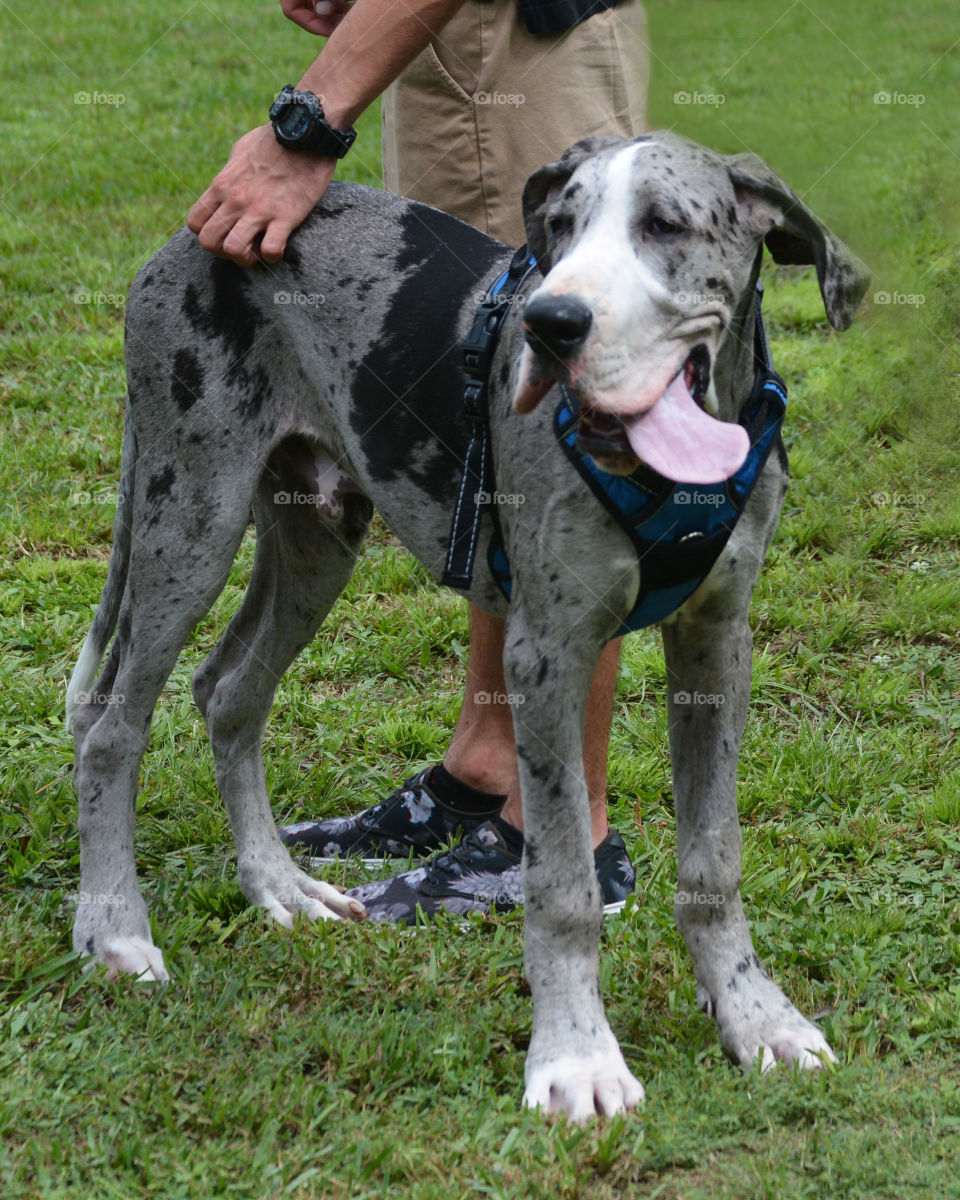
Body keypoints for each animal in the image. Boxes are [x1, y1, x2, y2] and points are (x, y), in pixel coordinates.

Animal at [63, 133, 864, 1123]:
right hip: (188, 519)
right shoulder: (547, 654)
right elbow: (560, 883)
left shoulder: (718, 639)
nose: (551, 324)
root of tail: (185, 234)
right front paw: (577, 1057)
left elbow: (714, 859)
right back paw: (115, 931)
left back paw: (278, 887)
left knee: (228, 693)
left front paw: (756, 1018)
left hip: (316, 537)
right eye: (559, 226)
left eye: (666, 226)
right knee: (111, 730)